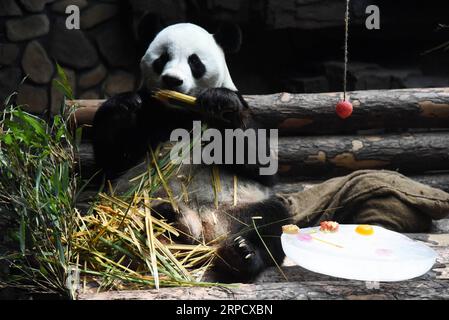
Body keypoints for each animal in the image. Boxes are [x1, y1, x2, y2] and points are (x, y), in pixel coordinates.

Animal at [93, 23, 290, 282]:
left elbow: (262, 165)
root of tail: (208, 232)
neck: (181, 111)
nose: (172, 80)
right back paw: (176, 221)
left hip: (242, 207)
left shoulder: (242, 108)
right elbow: (112, 162)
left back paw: (241, 255)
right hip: (129, 203)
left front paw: (221, 104)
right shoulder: (150, 114)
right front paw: (122, 106)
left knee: (272, 221)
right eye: (163, 58)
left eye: (194, 61)